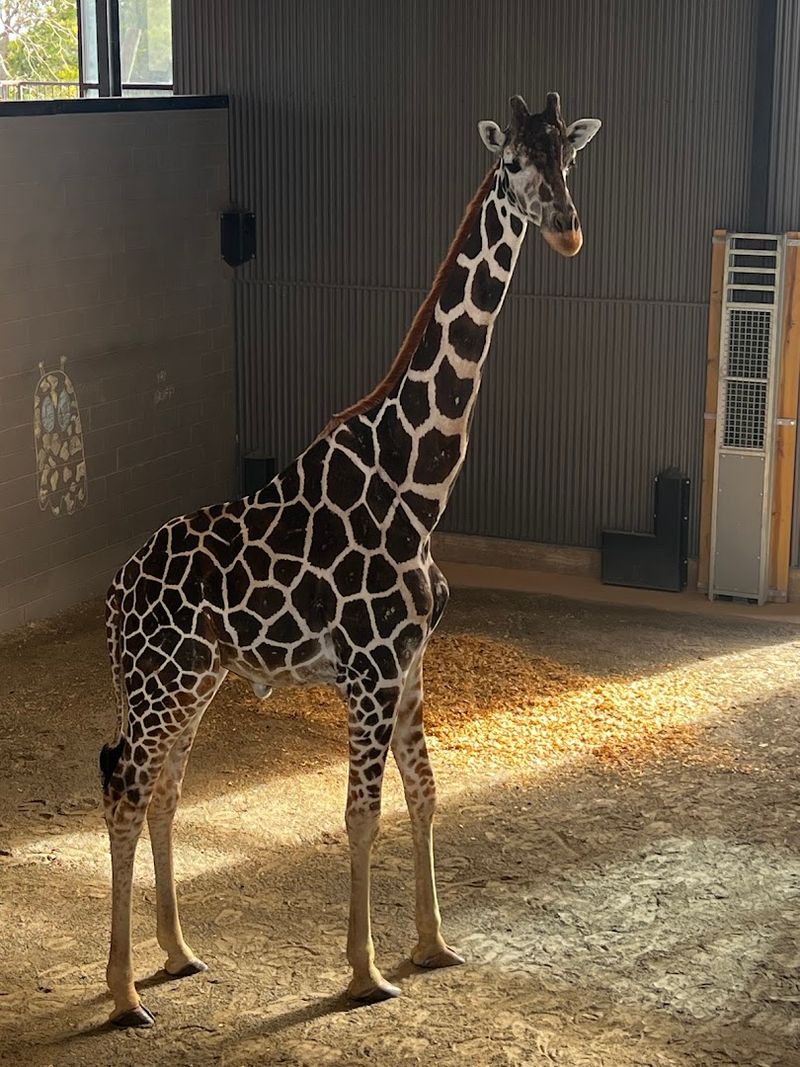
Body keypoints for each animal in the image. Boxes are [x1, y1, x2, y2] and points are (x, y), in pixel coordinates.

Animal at [100, 91, 601, 1027]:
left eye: (569, 158)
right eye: (513, 162)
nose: (567, 229)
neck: (419, 482)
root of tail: (113, 596)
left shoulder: (410, 664)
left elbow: (426, 791)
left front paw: (434, 944)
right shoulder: (368, 670)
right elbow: (360, 812)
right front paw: (365, 972)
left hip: (194, 679)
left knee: (165, 789)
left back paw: (179, 952)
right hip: (159, 683)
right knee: (124, 786)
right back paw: (121, 994)